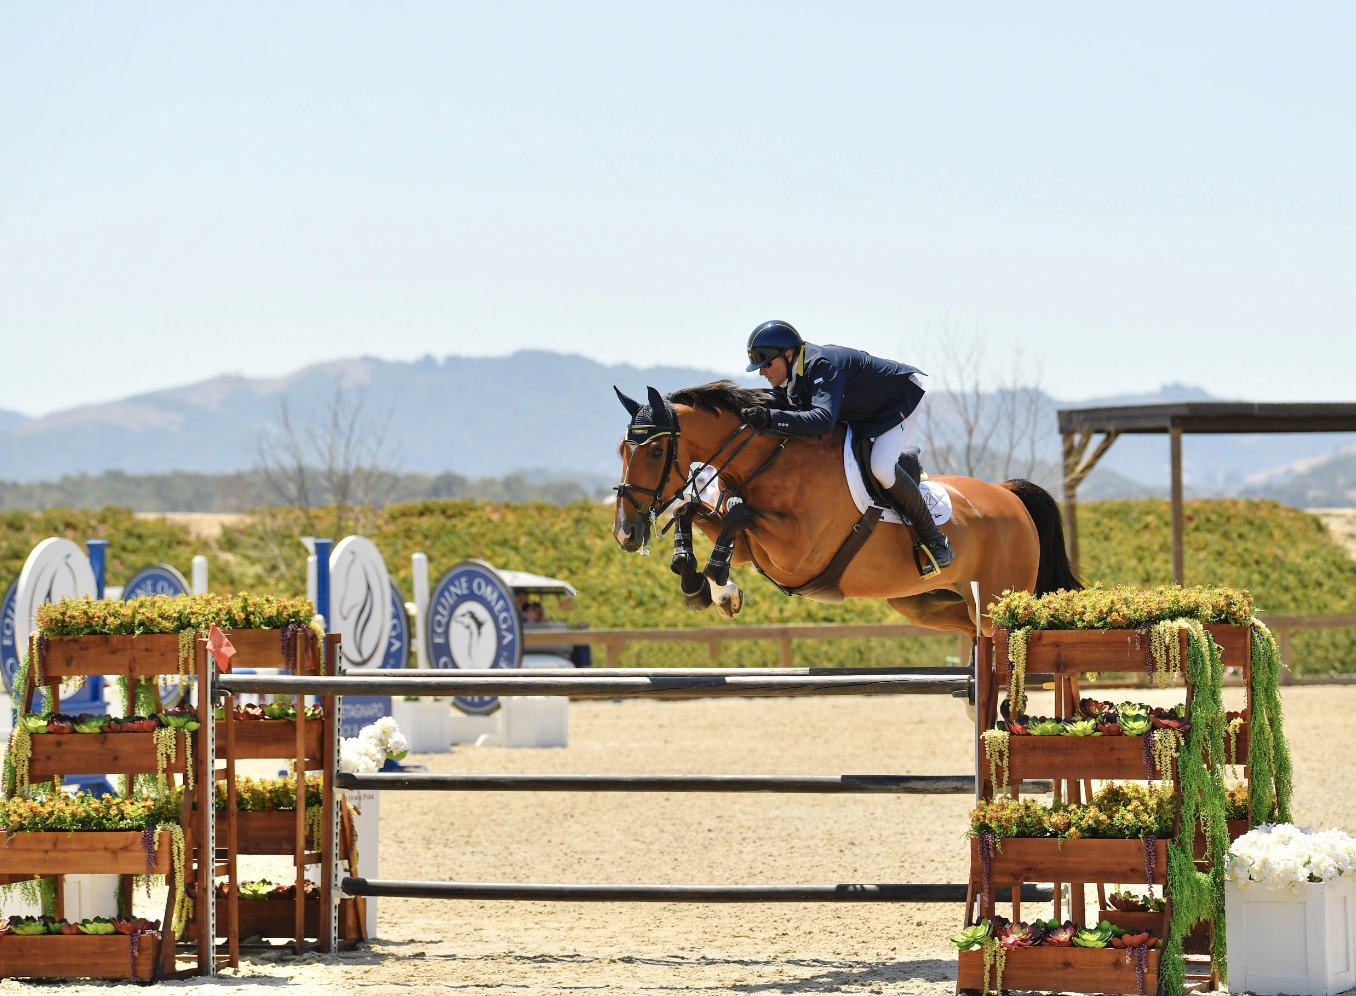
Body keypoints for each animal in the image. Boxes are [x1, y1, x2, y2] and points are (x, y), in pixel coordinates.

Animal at [615, 382, 1079, 639]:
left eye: (655, 451)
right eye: (623, 449)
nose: (626, 534)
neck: (769, 459)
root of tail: (1008, 495)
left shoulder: (796, 552)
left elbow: (735, 515)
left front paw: (717, 582)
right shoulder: (752, 550)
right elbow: (693, 510)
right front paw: (696, 583)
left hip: (998, 601)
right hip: (927, 602)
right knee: (971, 634)